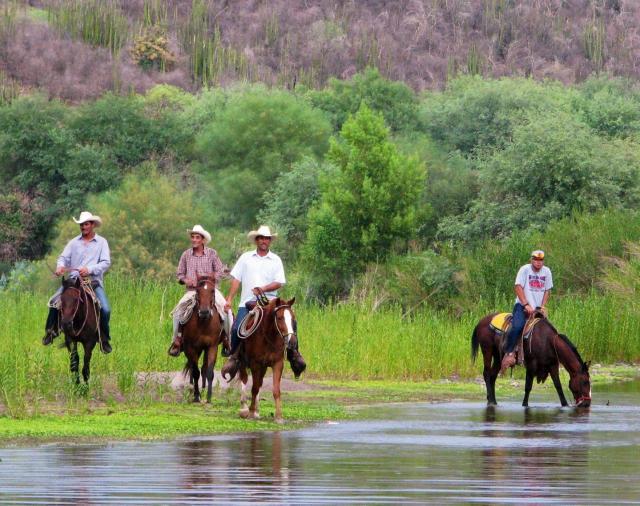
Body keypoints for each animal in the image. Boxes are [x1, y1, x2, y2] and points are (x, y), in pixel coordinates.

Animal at [181, 272, 224, 404]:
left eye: (212, 290)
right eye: (197, 290)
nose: (204, 312)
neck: (204, 323)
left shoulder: (212, 346)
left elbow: (209, 371)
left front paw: (209, 397)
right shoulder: (191, 347)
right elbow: (195, 372)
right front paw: (196, 396)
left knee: (204, 368)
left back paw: (204, 390)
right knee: (192, 368)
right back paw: (192, 390)